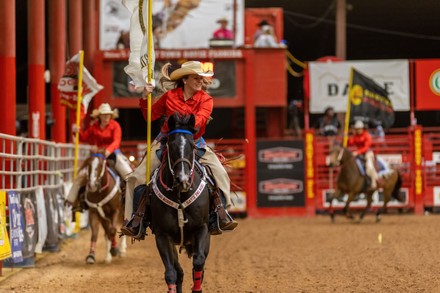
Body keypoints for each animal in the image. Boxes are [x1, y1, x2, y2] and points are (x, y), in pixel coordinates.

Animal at [150, 113, 211, 292]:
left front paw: (197, 288)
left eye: (192, 145)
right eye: (171, 145)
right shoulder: (162, 235)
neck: (180, 198)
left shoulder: (202, 228)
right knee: (179, 271)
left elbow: (199, 261)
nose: (182, 179)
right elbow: (171, 272)